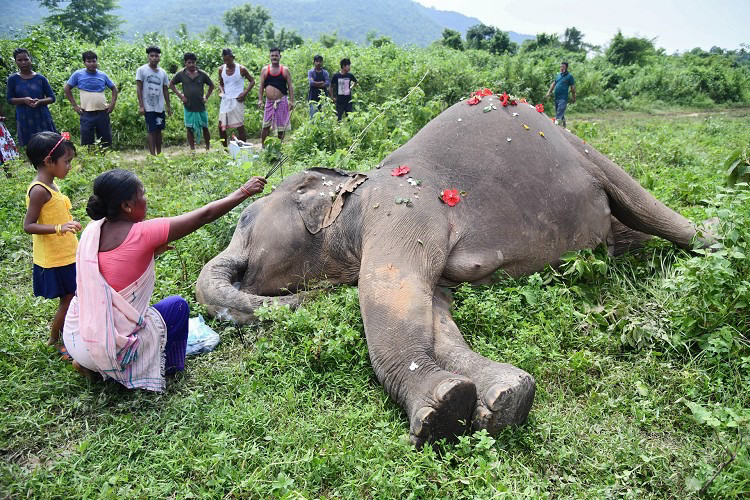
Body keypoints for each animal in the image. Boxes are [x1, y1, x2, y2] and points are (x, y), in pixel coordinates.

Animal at [195, 95, 712, 448]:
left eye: (244, 220)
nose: (306, 300)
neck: (360, 186)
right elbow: (434, 311)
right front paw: (501, 398)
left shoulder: (401, 213)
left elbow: (390, 294)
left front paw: (441, 414)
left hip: (584, 151)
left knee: (640, 198)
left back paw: (713, 238)